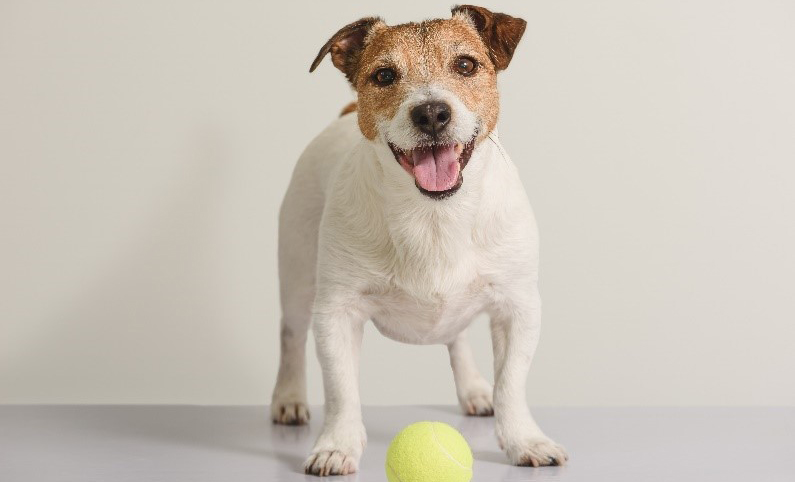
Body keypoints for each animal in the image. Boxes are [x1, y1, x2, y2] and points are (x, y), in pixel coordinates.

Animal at [270, 5, 568, 476]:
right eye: (384, 75)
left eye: (465, 65)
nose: (431, 113)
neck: (434, 216)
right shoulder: (336, 312)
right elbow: (341, 390)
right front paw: (337, 445)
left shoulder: (517, 307)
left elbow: (511, 384)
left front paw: (525, 440)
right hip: (297, 278)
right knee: (290, 337)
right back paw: (288, 399)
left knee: (458, 339)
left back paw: (475, 389)